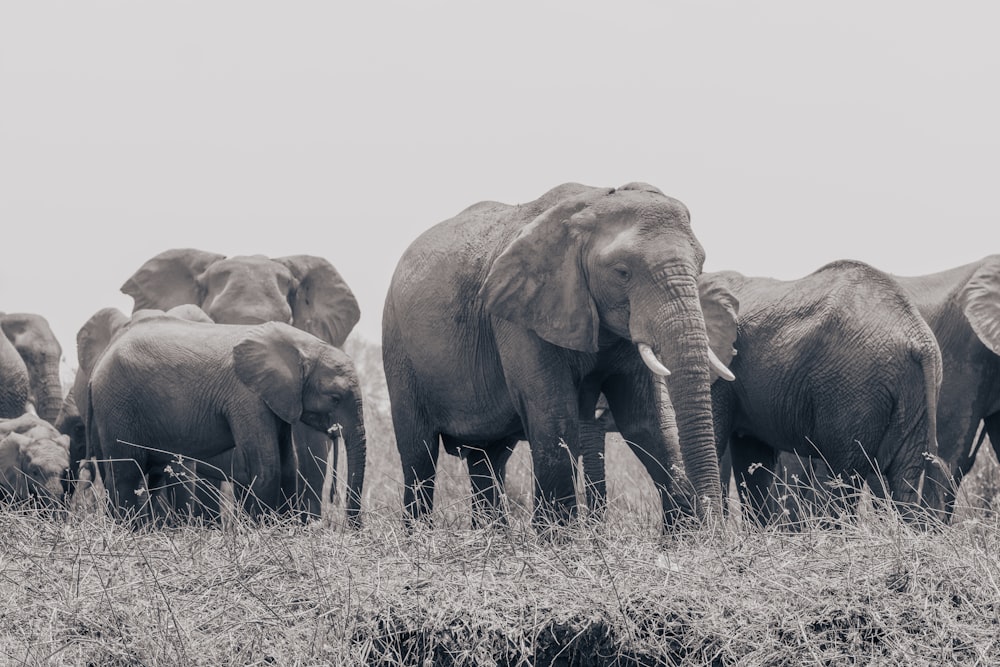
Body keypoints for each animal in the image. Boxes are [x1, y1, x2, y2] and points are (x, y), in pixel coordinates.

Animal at [87, 316, 368, 524]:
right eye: (335, 398)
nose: (351, 530)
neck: (303, 345)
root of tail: (96, 367)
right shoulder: (246, 396)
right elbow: (268, 466)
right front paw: (266, 531)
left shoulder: (277, 398)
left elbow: (288, 464)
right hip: (118, 405)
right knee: (127, 474)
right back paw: (129, 530)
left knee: (146, 475)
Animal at [382, 180, 736, 528]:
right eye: (622, 272)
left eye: (700, 266)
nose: (717, 527)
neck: (590, 204)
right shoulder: (521, 314)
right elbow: (554, 418)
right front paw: (559, 539)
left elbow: (646, 422)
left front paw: (688, 538)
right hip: (398, 348)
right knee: (419, 454)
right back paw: (420, 535)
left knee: (490, 457)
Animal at [708, 260, 948, 528]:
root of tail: (919, 339)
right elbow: (751, 454)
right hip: (916, 393)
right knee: (902, 477)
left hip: (854, 388)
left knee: (843, 478)